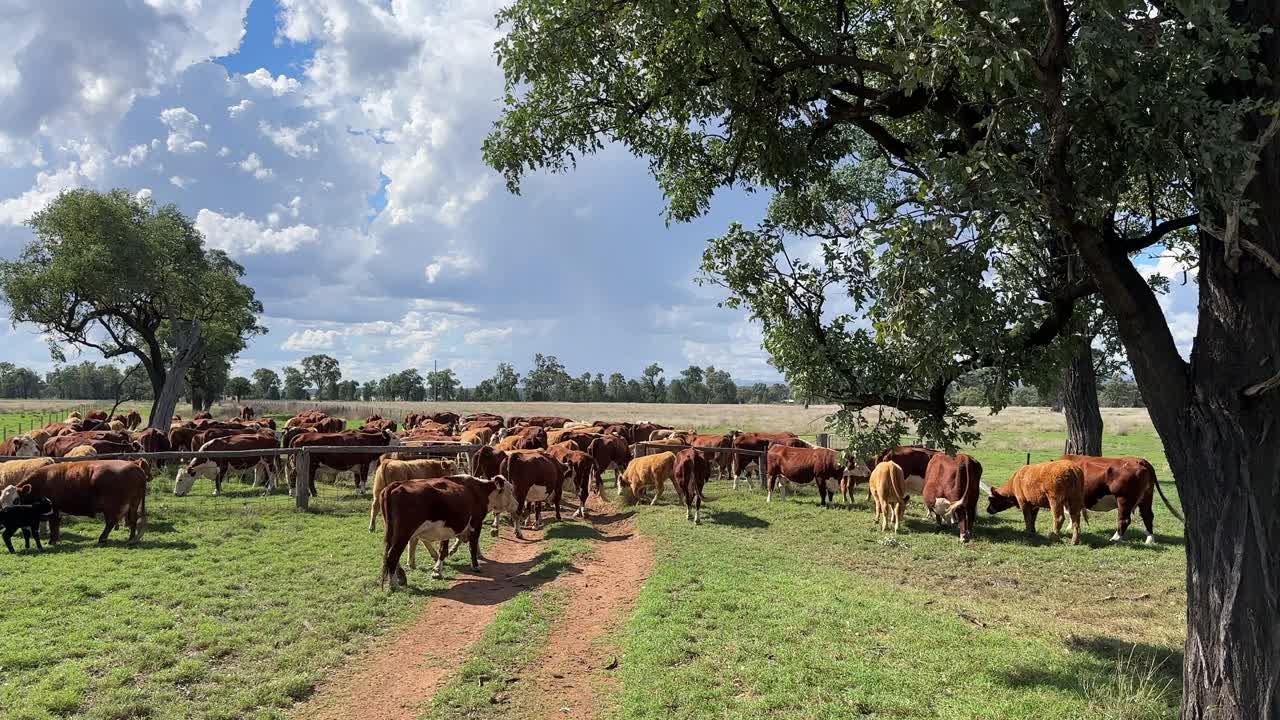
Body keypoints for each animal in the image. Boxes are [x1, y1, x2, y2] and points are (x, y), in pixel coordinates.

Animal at [376, 471, 517, 584]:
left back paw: (401, 577)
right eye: (510, 490)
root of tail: (396, 485)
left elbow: (443, 549)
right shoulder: (475, 523)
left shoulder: (446, 529)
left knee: (388, 554)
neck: (478, 491)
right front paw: (476, 566)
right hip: (403, 534)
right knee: (392, 556)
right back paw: (393, 585)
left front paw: (437, 570)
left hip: (392, 532)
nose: (517, 504)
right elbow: (472, 545)